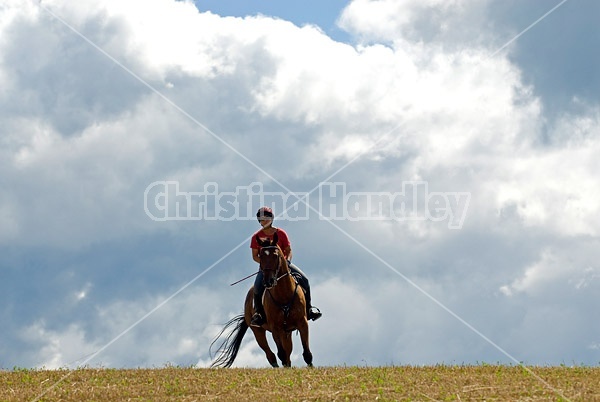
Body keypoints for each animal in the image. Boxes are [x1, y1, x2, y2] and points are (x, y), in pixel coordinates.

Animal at [210, 232, 314, 368]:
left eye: (276, 255)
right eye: (261, 256)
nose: (268, 281)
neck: (284, 294)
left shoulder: (302, 323)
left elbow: (306, 353)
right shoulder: (275, 328)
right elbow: (281, 354)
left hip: (286, 332)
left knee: (287, 353)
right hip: (258, 331)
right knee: (271, 355)